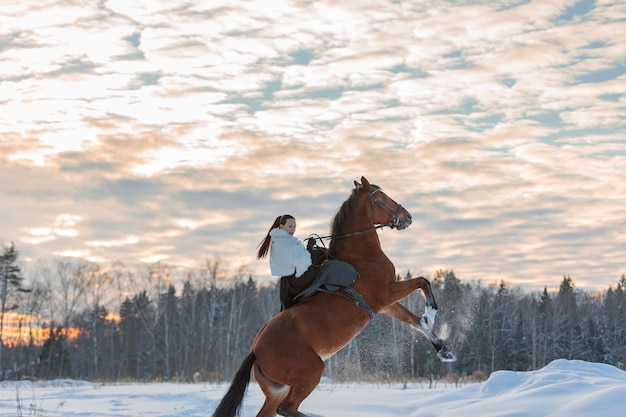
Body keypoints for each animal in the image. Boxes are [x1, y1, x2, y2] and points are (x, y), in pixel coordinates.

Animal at [210, 176, 454, 416]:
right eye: (383, 197)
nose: (407, 216)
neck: (361, 256)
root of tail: (255, 350)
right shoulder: (387, 293)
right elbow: (423, 282)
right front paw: (431, 314)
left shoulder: (386, 305)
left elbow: (415, 321)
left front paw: (443, 351)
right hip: (310, 374)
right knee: (287, 408)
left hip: (276, 391)